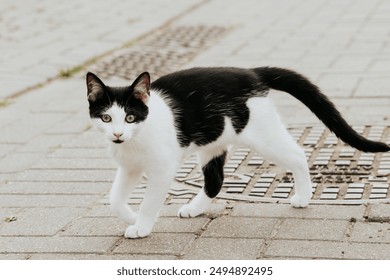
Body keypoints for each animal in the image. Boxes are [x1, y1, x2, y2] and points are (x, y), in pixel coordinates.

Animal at [86, 67, 390, 238]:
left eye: (130, 117)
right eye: (106, 118)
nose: (117, 134)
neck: (135, 139)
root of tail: (252, 73)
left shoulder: (162, 169)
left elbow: (150, 202)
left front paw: (141, 226)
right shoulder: (129, 167)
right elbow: (114, 199)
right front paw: (131, 216)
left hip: (261, 135)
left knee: (297, 155)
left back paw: (304, 196)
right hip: (213, 142)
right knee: (215, 180)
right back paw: (195, 208)